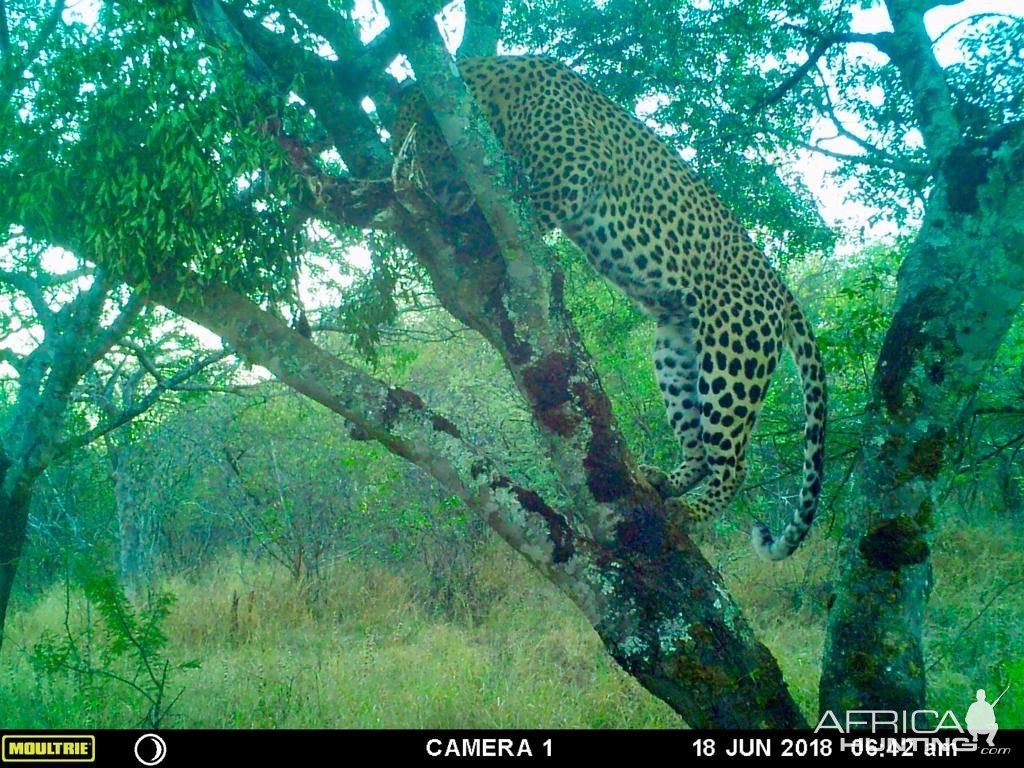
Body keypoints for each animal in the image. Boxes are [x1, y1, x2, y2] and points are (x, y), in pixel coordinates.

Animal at [387, 54, 827, 561]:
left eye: (421, 147)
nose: (430, 190)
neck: (489, 100)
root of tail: (782, 290)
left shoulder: (574, 170)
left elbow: (528, 206)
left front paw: (484, 244)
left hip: (731, 362)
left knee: (735, 464)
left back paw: (692, 508)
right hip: (675, 352)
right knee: (697, 447)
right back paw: (665, 480)